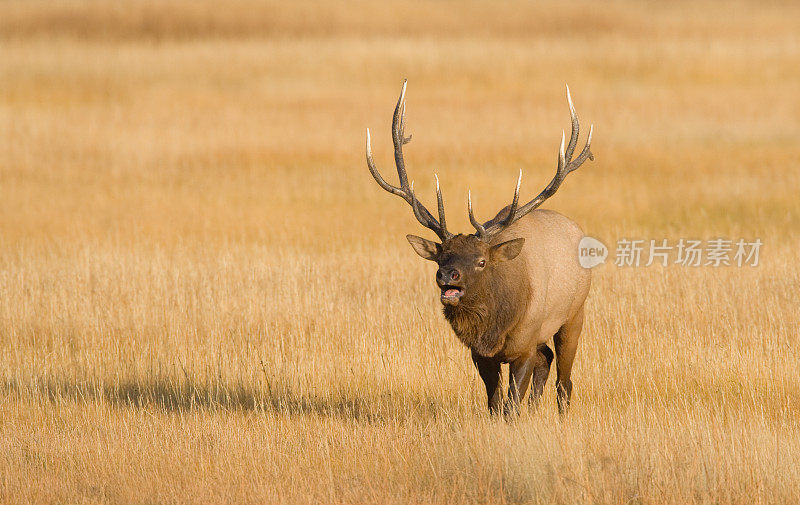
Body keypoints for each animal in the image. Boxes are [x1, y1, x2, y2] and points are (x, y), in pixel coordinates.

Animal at [366, 81, 592, 414]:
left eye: (481, 261)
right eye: (441, 258)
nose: (448, 276)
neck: (494, 329)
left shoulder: (524, 344)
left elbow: (511, 405)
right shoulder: (480, 355)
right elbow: (494, 403)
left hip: (573, 314)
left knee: (565, 380)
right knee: (547, 360)